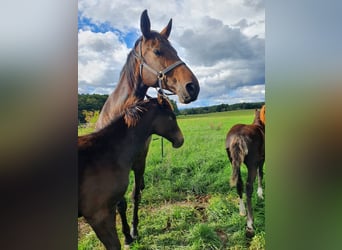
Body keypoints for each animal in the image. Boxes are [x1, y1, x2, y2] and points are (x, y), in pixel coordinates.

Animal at [95, 9, 199, 244]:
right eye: (158, 51)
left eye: (176, 51)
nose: (193, 87)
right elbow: (121, 202)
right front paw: (126, 235)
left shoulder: (140, 161)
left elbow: (135, 196)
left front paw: (134, 230)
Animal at [226, 105, 266, 238]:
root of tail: (238, 137)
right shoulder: (261, 159)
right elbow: (260, 174)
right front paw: (260, 194)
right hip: (252, 164)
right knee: (248, 187)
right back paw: (250, 224)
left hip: (234, 163)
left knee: (239, 184)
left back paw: (242, 211)